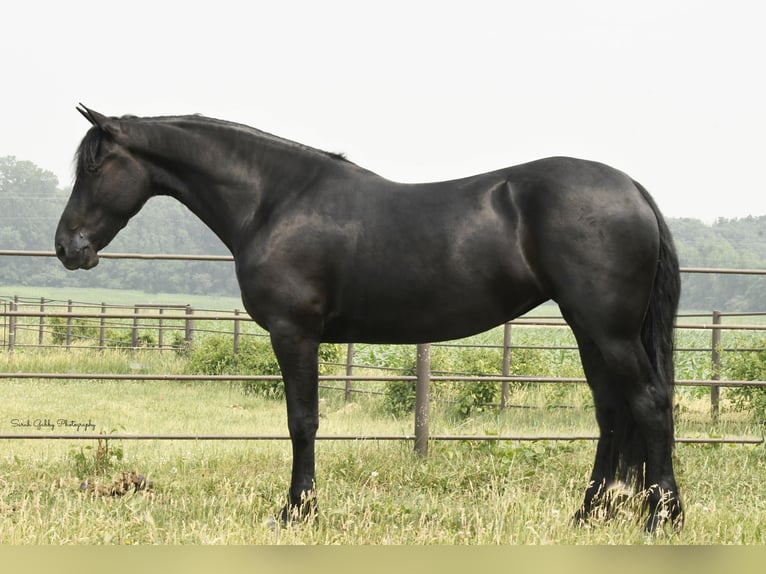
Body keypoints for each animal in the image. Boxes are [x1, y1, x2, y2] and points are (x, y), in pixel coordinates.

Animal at [57, 106, 688, 532]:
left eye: (94, 167)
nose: (68, 247)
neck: (274, 200)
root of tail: (632, 189)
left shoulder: (294, 334)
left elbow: (302, 422)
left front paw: (298, 511)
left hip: (608, 331)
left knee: (649, 403)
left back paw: (663, 517)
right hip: (590, 330)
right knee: (611, 412)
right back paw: (588, 513)